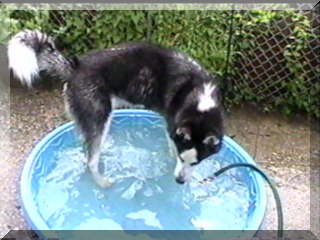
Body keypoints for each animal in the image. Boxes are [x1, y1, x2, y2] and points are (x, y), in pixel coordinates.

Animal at [7, 29, 224, 188]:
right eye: (182, 158)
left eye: (196, 162)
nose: (179, 181)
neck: (199, 95)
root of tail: (76, 67)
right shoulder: (172, 126)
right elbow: (172, 149)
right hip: (101, 117)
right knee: (91, 161)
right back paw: (102, 182)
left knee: (87, 150)